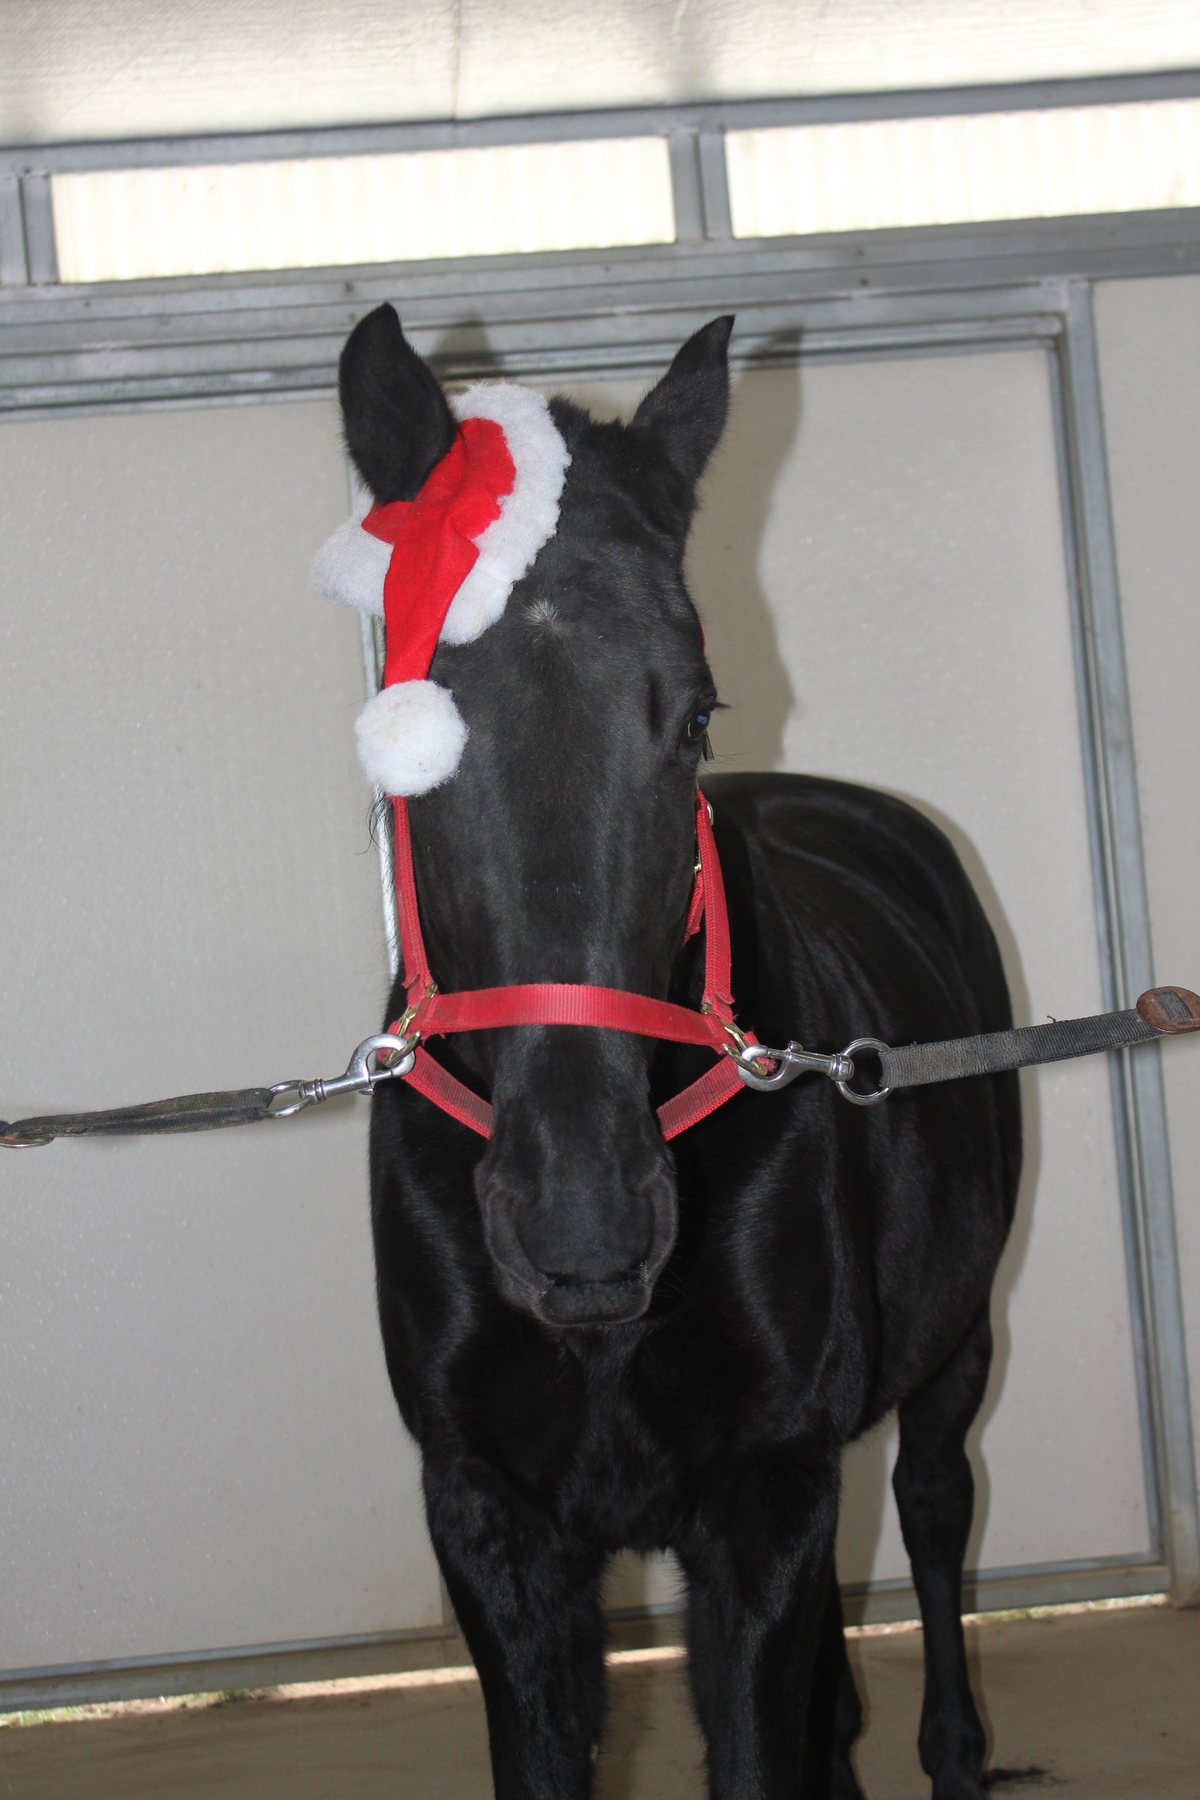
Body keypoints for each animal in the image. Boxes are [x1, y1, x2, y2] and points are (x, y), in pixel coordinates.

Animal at [333, 304, 1022, 1799]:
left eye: (696, 710)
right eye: (414, 731)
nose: (583, 1230)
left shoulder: (765, 1490)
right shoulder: (490, 1519)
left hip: (954, 1349)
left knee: (937, 1513)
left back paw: (952, 1749)